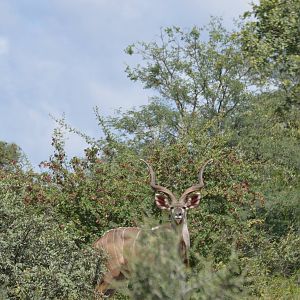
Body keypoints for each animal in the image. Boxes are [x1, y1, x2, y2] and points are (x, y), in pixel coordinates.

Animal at [92, 159, 212, 298]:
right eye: (171, 207)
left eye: (184, 207)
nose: (178, 214)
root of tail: (98, 242)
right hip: (110, 272)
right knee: (96, 291)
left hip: (119, 278)